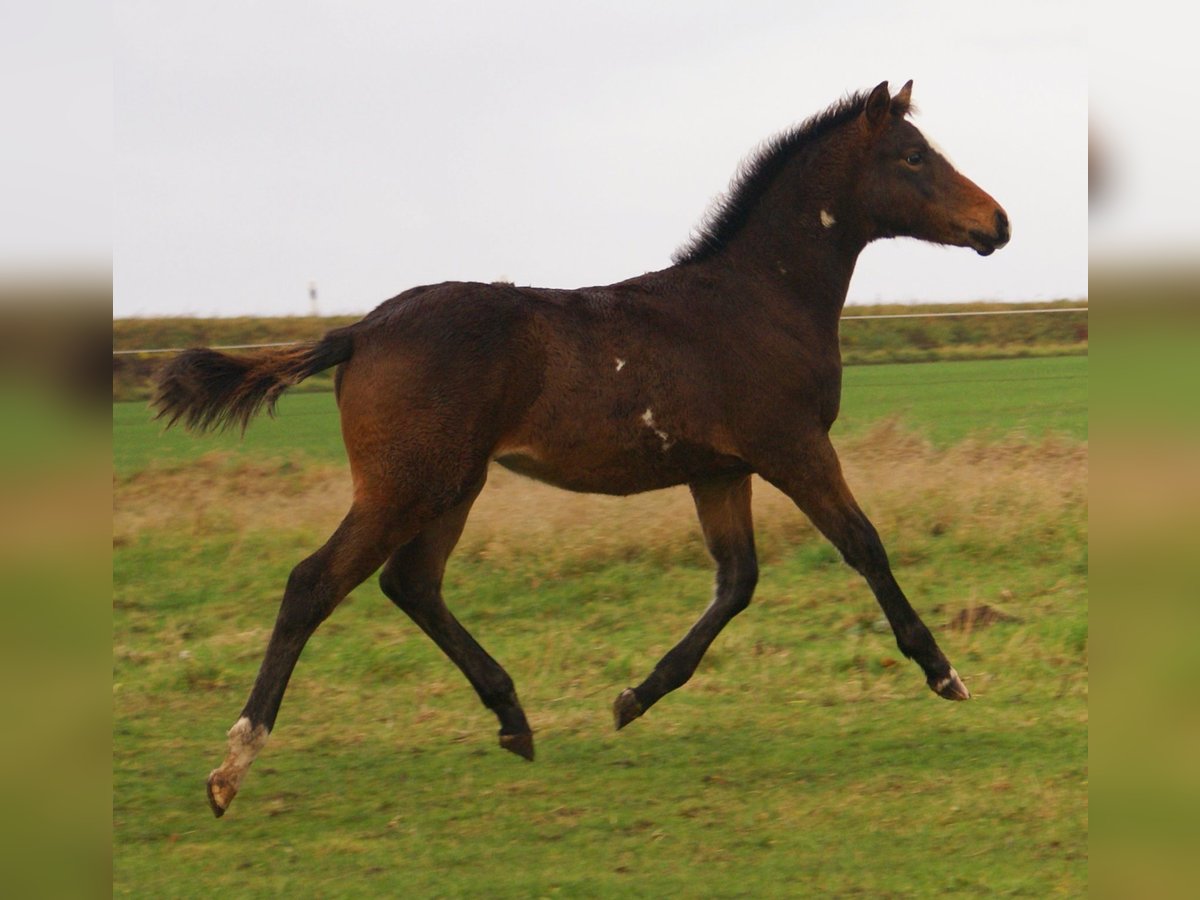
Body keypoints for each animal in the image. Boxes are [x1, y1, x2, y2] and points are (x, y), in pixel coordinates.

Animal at [154, 80, 1010, 818]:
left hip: (453, 485)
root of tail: (359, 331)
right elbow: (863, 545)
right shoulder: (792, 449)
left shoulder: (718, 472)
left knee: (413, 584)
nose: (997, 223)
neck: (759, 300)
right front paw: (944, 673)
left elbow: (736, 582)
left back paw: (513, 717)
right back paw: (232, 768)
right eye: (913, 156)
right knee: (315, 583)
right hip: (407, 484)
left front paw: (634, 697)